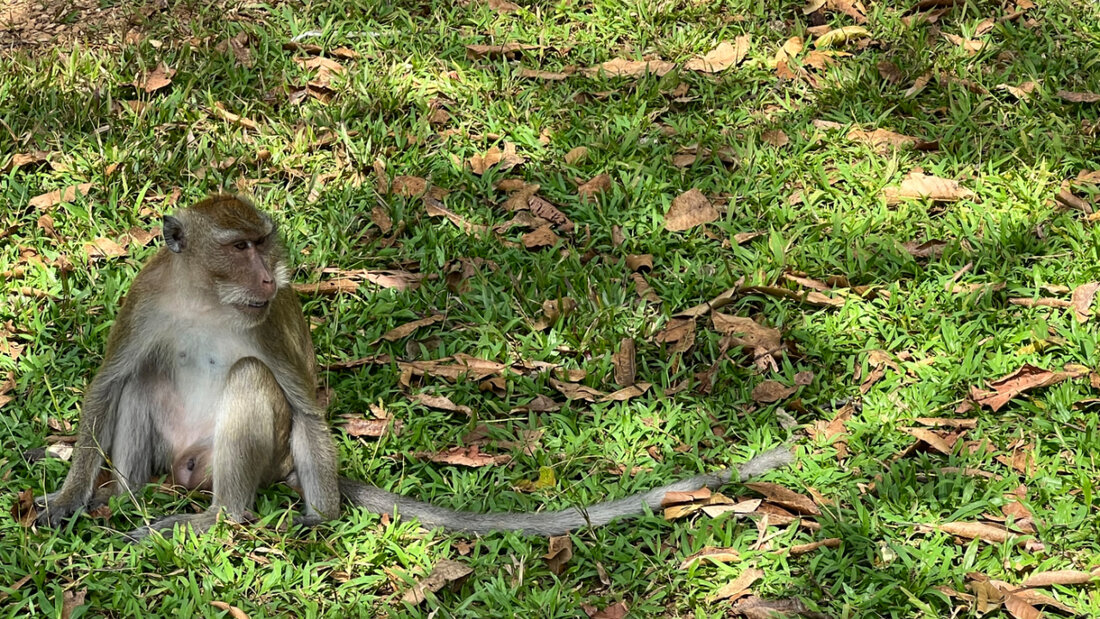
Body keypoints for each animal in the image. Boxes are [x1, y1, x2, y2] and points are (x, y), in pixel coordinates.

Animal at [34, 194, 793, 540]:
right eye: (239, 246)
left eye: (262, 243)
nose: (272, 273)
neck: (204, 297)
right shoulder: (147, 297)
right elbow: (108, 383)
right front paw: (67, 499)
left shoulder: (266, 317)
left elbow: (303, 403)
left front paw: (322, 516)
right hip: (179, 456)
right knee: (142, 380)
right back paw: (123, 496)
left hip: (251, 458)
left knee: (253, 384)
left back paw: (219, 517)